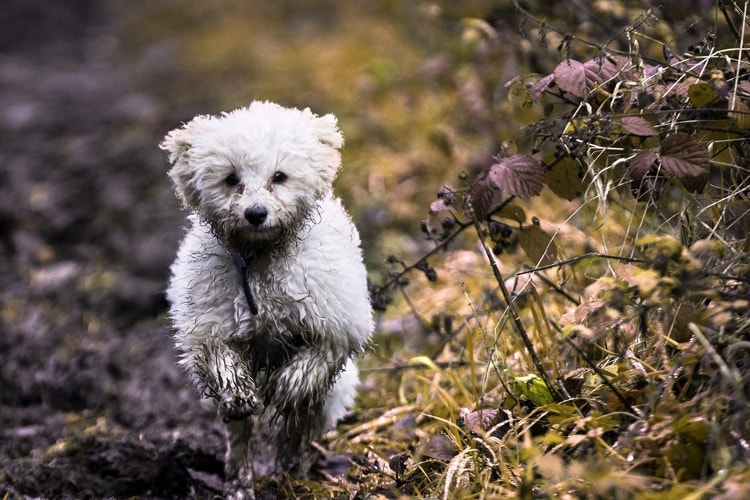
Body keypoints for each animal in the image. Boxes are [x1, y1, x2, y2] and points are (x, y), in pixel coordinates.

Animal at [164, 100, 376, 496]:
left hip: (330, 397)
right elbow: (220, 359)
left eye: (279, 176)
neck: (261, 259)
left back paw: (292, 468)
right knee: (241, 436)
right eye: (231, 178)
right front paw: (237, 392)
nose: (256, 213)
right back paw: (241, 480)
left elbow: (317, 358)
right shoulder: (210, 322)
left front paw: (290, 386)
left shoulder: (337, 317)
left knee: (302, 426)